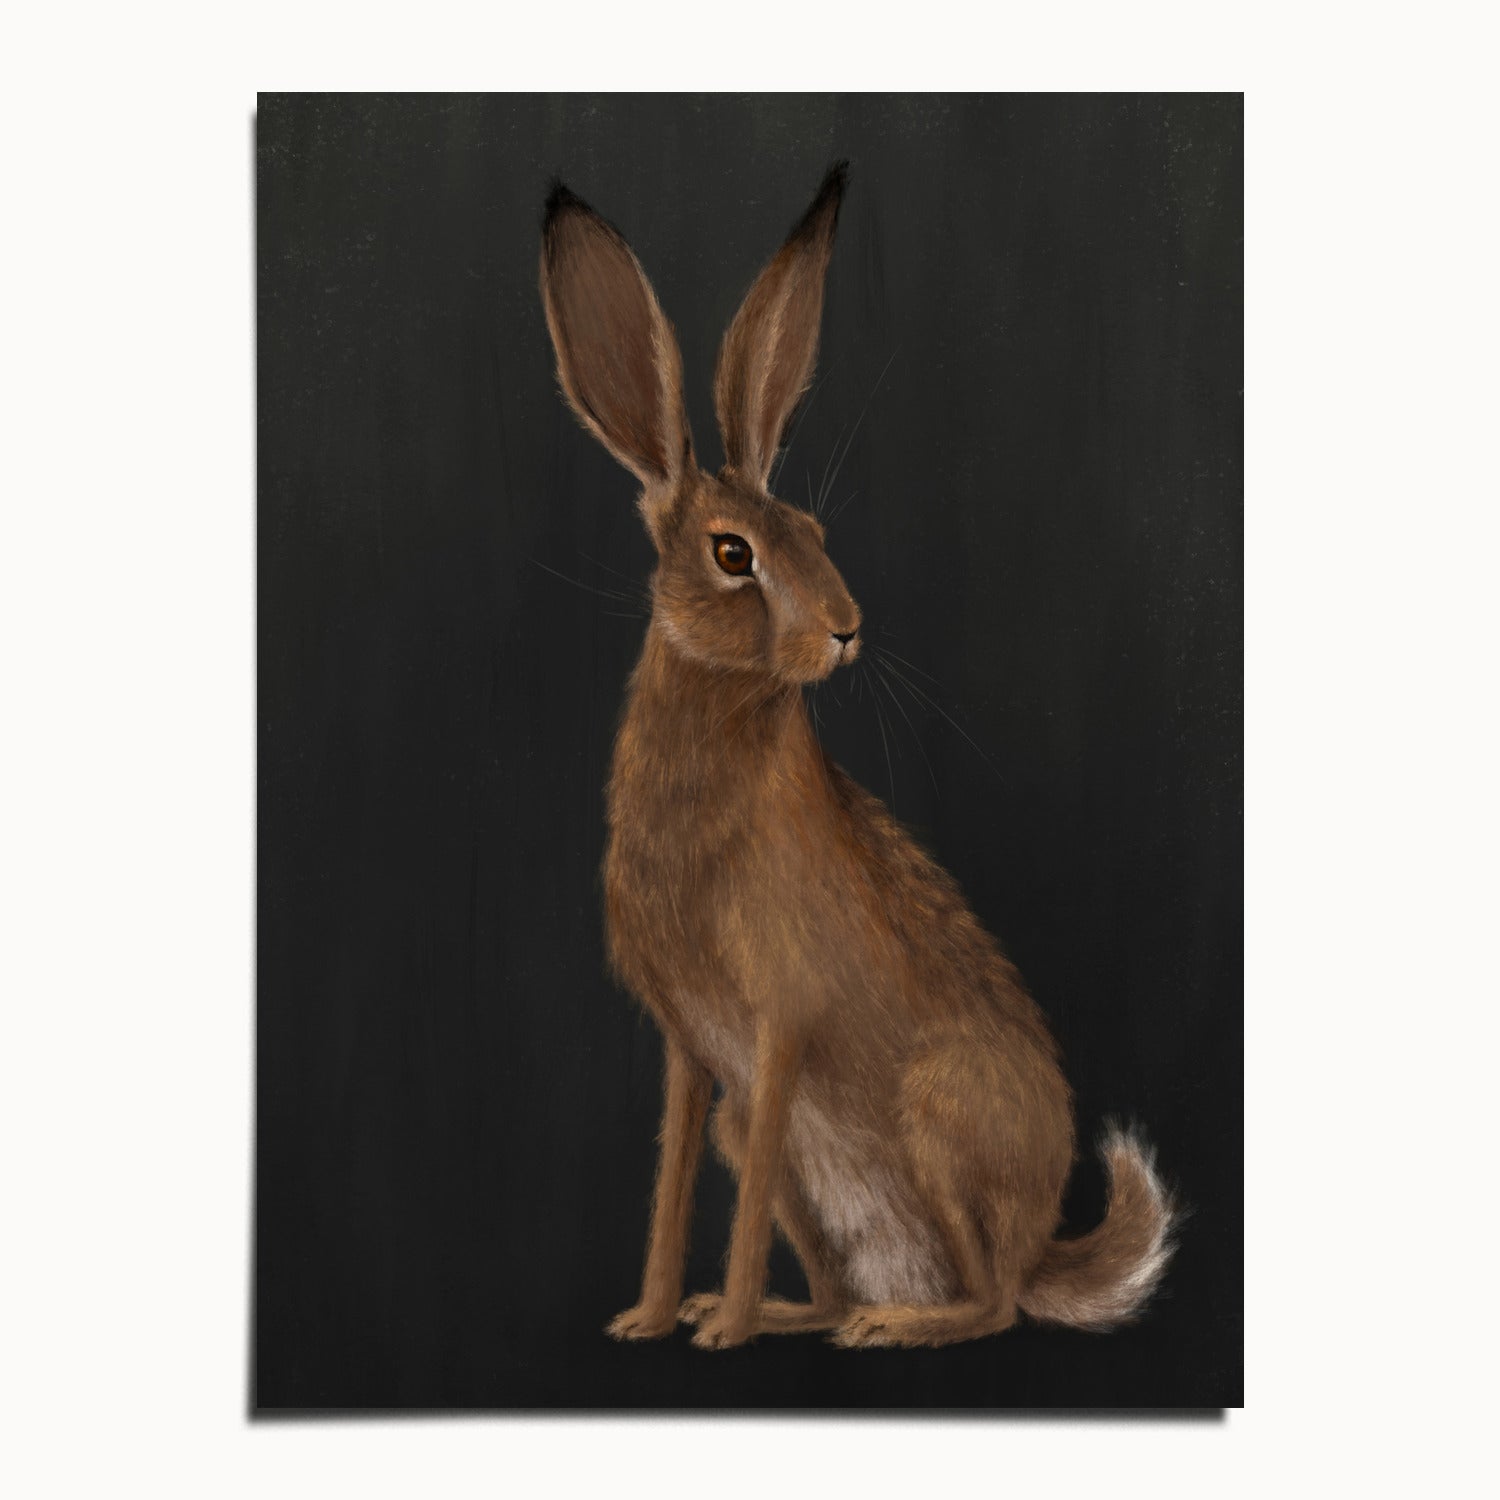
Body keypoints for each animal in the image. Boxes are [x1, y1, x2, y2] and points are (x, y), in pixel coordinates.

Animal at [538, 162, 1178, 1350]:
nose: (845, 628)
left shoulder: (779, 1027)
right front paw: (653, 1317)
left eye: (817, 534)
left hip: (937, 1116)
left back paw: (892, 1325)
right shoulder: (697, 1058)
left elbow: (734, 1199)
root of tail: (1040, 1245)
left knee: (993, 1306)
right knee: (846, 1274)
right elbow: (673, 1183)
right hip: (791, 1143)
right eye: (733, 552)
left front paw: (719, 1333)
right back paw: (798, 1313)